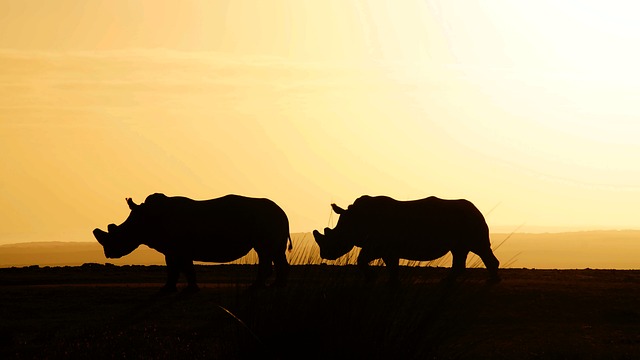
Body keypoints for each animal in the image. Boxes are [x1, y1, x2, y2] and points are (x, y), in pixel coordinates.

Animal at [93, 193, 292, 292]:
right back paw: (276, 286)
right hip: (271, 220)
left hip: (267, 219)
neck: (146, 218)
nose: (108, 253)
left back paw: (257, 287)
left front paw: (187, 290)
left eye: (121, 233)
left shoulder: (179, 247)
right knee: (274, 252)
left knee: (265, 251)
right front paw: (169, 289)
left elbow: (183, 268)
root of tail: (283, 211)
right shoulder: (172, 248)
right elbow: (175, 268)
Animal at [312, 197, 502, 284]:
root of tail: (477, 209)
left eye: (335, 237)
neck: (354, 221)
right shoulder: (385, 247)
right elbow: (391, 264)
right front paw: (392, 282)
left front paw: (373, 278)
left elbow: (362, 259)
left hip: (471, 221)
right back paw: (447, 282)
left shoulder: (378, 244)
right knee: (459, 251)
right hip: (463, 224)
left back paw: (491, 282)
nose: (325, 255)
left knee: (479, 247)